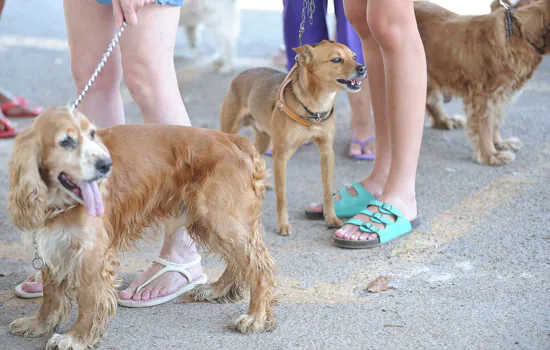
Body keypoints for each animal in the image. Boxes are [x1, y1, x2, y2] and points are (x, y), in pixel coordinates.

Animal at [6, 106, 278, 350]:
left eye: (92, 134)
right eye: (66, 141)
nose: (106, 165)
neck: (59, 200)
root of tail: (234, 140)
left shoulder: (92, 254)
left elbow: (88, 299)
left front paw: (77, 338)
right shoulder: (53, 245)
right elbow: (51, 295)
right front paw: (39, 324)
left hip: (222, 220)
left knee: (259, 267)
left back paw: (255, 317)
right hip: (210, 222)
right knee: (239, 262)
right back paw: (217, 290)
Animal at [219, 41, 366, 237]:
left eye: (354, 56)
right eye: (336, 60)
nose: (362, 68)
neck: (315, 107)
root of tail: (240, 74)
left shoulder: (327, 152)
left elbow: (327, 191)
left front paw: (331, 218)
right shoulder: (281, 156)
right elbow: (282, 196)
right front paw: (282, 225)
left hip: (264, 138)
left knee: (256, 157)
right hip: (230, 131)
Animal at [418, 0, 550, 165]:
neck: (519, 33)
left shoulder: (498, 95)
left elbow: (495, 122)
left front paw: (499, 144)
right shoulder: (483, 96)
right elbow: (485, 126)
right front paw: (491, 155)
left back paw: (445, 121)